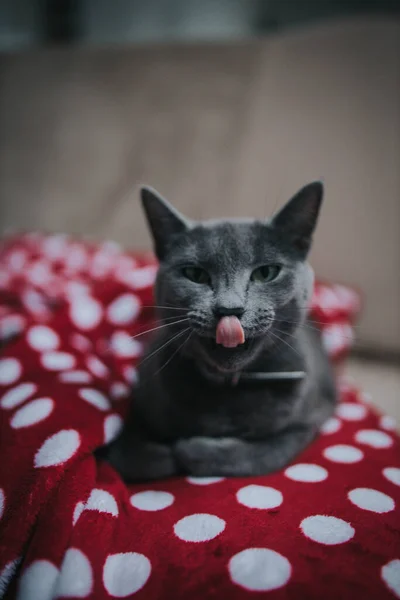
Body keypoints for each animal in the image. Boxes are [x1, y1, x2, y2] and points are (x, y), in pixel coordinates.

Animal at [104, 180, 338, 480]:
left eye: (266, 273)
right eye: (195, 274)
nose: (229, 309)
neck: (227, 387)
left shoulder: (310, 420)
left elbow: (264, 453)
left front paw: (193, 450)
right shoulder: (140, 397)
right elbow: (127, 456)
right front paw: (162, 454)